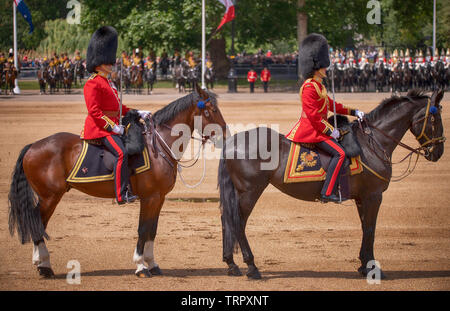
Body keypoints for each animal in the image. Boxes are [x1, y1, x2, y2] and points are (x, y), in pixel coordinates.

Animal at [7, 84, 225, 280]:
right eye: (212, 110)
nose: (225, 135)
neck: (160, 146)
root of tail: (33, 146)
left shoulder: (159, 198)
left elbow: (152, 231)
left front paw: (152, 264)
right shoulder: (150, 198)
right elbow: (143, 229)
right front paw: (140, 266)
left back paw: (41, 264)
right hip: (50, 197)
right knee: (37, 223)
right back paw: (44, 266)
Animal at [220, 88, 444, 280]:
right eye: (434, 118)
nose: (438, 152)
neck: (371, 143)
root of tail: (232, 142)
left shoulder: (362, 198)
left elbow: (365, 227)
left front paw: (364, 265)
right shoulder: (373, 196)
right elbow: (370, 229)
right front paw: (372, 267)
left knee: (227, 221)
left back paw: (231, 264)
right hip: (250, 191)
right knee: (238, 223)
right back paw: (251, 266)